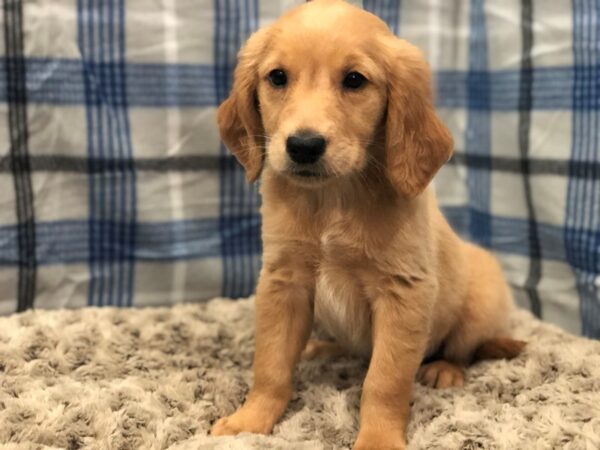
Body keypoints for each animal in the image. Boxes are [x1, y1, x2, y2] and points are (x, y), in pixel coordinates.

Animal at [211, 1, 524, 448]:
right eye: (277, 77)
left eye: (355, 80)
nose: (303, 146)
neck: (333, 199)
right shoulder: (282, 282)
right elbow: (270, 363)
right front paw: (250, 420)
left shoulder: (403, 293)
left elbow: (384, 380)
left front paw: (378, 438)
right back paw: (322, 348)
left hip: (481, 301)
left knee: (463, 348)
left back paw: (444, 369)